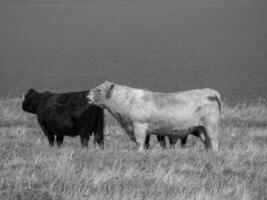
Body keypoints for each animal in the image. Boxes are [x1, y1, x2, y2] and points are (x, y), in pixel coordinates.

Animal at [88, 81, 222, 152]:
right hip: (201, 128)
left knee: (214, 140)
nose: (87, 96)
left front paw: (140, 152)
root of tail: (211, 91)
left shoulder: (139, 125)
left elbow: (139, 141)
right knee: (207, 142)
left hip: (211, 126)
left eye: (99, 90)